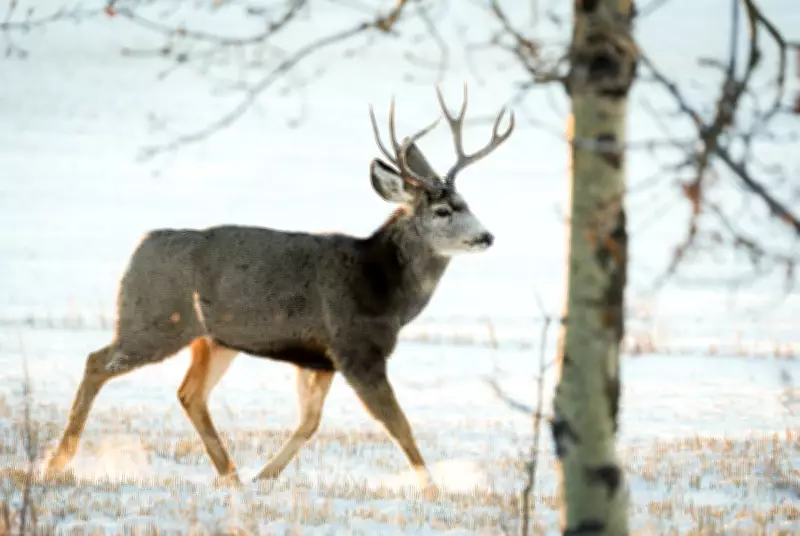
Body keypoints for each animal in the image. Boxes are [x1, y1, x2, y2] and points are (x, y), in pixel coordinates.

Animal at [45, 84, 515, 495]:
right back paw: (56, 464)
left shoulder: (318, 358)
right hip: (156, 320)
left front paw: (264, 476)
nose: (487, 236)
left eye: (468, 203)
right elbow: (398, 424)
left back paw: (231, 475)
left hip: (213, 338)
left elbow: (310, 423)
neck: (384, 289)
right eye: (443, 210)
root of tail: (139, 246)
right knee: (97, 362)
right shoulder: (355, 346)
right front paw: (433, 489)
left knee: (189, 393)